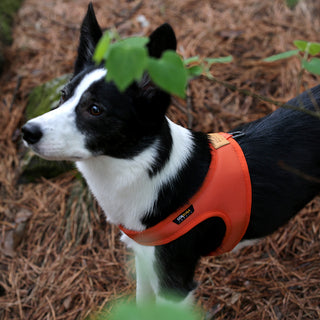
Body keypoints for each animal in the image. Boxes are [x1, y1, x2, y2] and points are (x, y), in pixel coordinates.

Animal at [21, 3, 320, 306]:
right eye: (63, 95)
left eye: (95, 109)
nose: (27, 131)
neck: (142, 168)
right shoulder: (144, 258)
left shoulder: (174, 282)